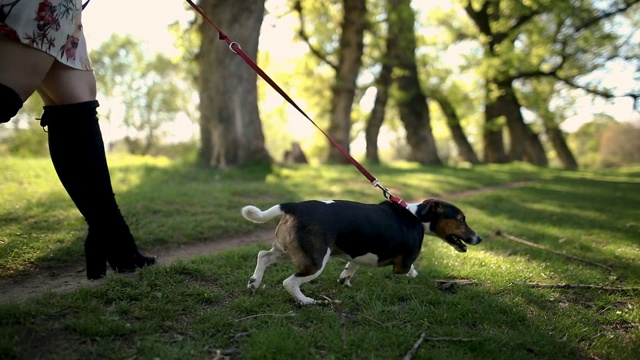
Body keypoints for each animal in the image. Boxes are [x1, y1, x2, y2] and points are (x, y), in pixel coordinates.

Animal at [242, 198, 482, 306]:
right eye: (461, 220)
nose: (478, 239)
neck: (417, 216)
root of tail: (295, 206)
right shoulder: (402, 264)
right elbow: (410, 269)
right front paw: (414, 274)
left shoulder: (359, 252)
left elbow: (352, 265)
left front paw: (345, 279)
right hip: (315, 260)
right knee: (289, 282)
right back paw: (306, 301)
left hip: (288, 249)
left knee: (263, 255)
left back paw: (254, 282)